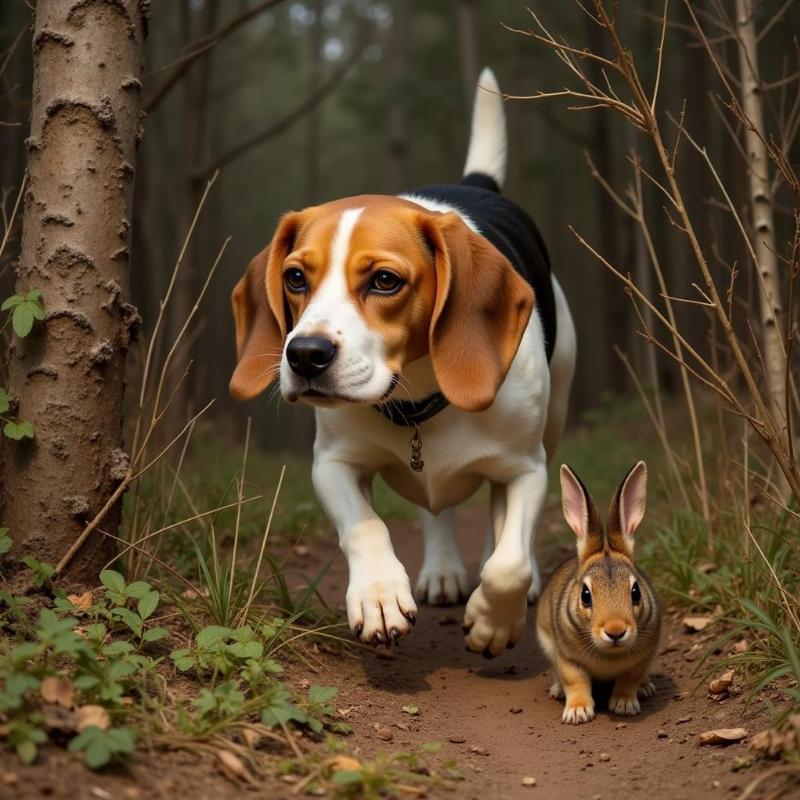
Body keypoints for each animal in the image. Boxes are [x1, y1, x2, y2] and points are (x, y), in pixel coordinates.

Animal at [536, 460, 664, 728]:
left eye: (635, 592)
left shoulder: (643, 656)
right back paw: (557, 690)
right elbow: (575, 681)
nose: (615, 631)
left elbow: (629, 680)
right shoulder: (566, 658)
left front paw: (624, 705)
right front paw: (577, 712)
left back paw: (646, 687)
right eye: (585, 595)